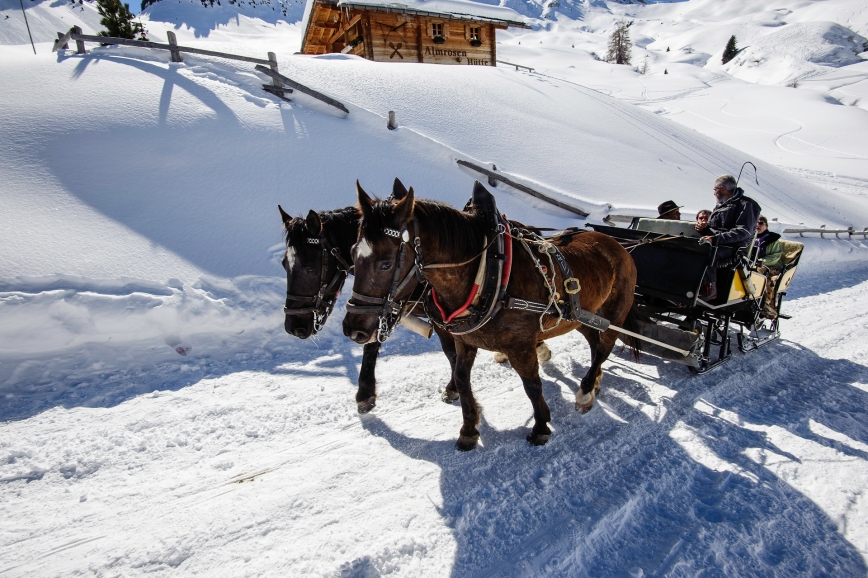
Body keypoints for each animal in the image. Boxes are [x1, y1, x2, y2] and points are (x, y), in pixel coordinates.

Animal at [342, 180, 640, 450]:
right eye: (352, 253)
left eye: (386, 264)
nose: (352, 328)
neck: (488, 271)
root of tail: (618, 245)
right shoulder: (463, 338)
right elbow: (462, 377)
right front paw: (468, 429)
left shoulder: (520, 345)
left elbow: (532, 384)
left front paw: (541, 427)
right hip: (581, 316)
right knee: (593, 341)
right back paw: (594, 382)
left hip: (615, 314)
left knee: (604, 347)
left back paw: (585, 391)